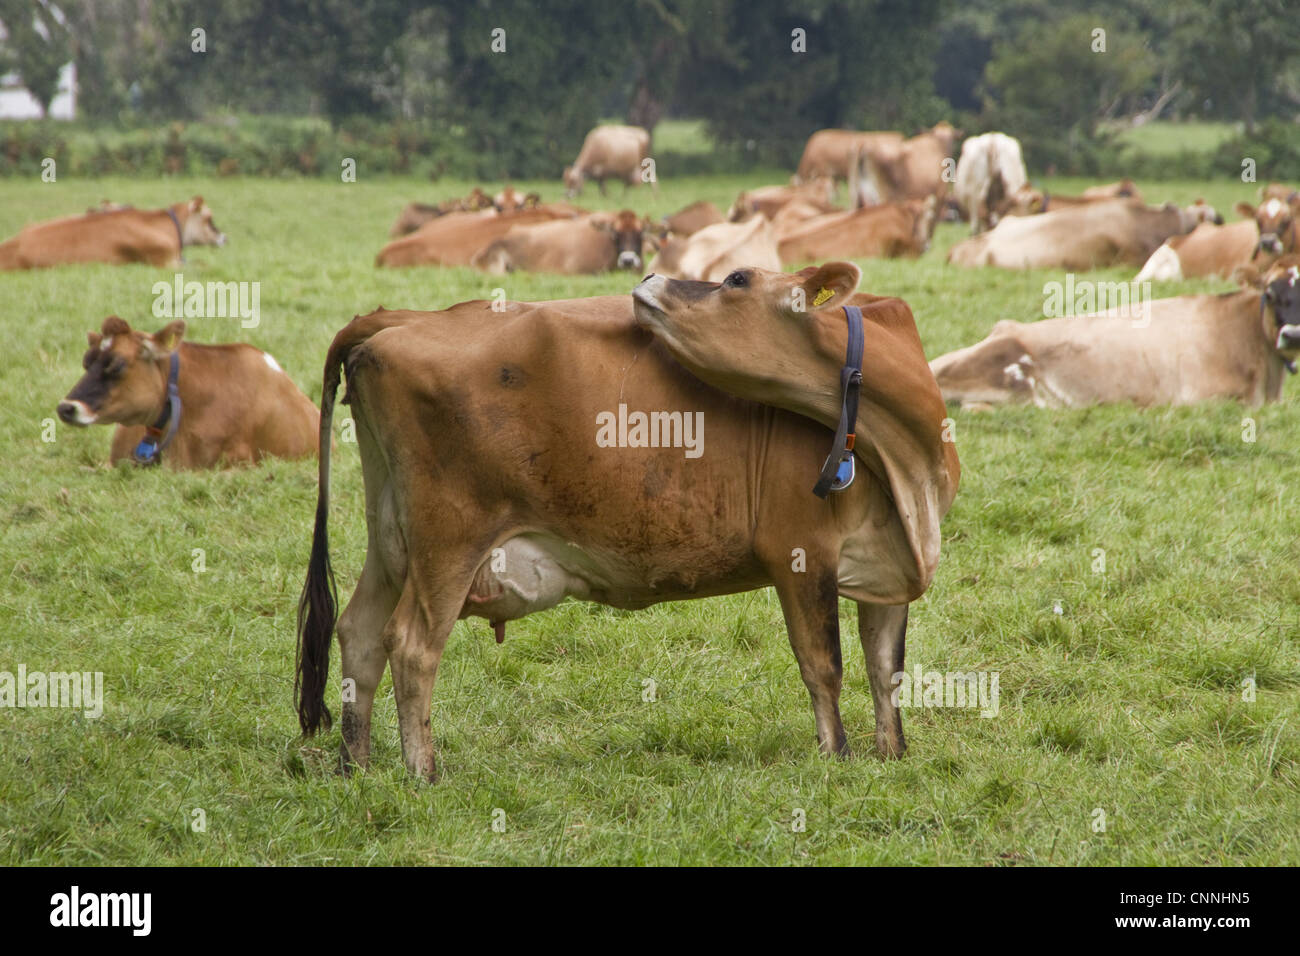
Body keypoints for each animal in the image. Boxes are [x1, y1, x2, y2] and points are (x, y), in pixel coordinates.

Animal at [295, 262, 958, 778]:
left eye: (735, 278)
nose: (649, 277)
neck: (903, 458)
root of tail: (405, 317)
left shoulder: (886, 563)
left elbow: (886, 667)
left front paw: (893, 754)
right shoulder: (800, 551)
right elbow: (825, 664)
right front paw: (837, 757)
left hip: (391, 538)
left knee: (358, 632)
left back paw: (355, 764)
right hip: (448, 540)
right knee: (411, 645)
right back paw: (423, 771)